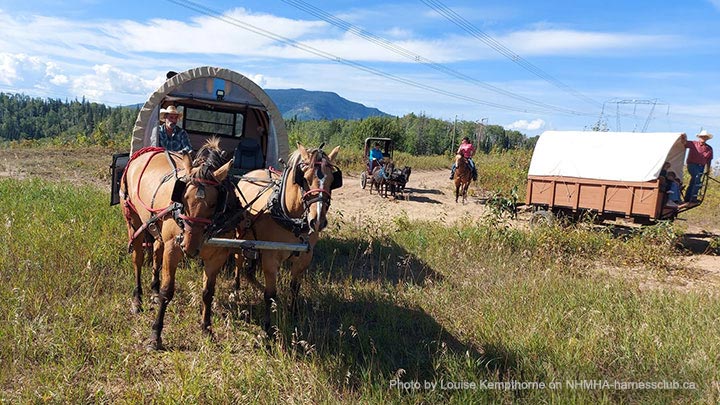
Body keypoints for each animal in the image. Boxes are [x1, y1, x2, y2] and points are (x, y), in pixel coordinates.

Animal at [120, 138, 235, 349]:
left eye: (215, 203)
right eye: (184, 198)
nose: (189, 246)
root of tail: (146, 152)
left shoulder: (217, 256)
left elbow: (208, 292)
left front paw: (207, 329)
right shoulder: (173, 249)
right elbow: (167, 292)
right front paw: (155, 335)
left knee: (157, 252)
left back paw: (154, 290)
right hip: (133, 219)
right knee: (138, 260)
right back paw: (137, 299)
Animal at [233, 143, 341, 335]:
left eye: (332, 181)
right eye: (304, 179)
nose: (317, 221)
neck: (291, 218)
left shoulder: (304, 257)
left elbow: (294, 288)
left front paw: (293, 312)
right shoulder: (270, 258)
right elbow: (270, 295)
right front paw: (268, 327)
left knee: (250, 270)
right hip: (240, 236)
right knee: (238, 262)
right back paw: (236, 290)